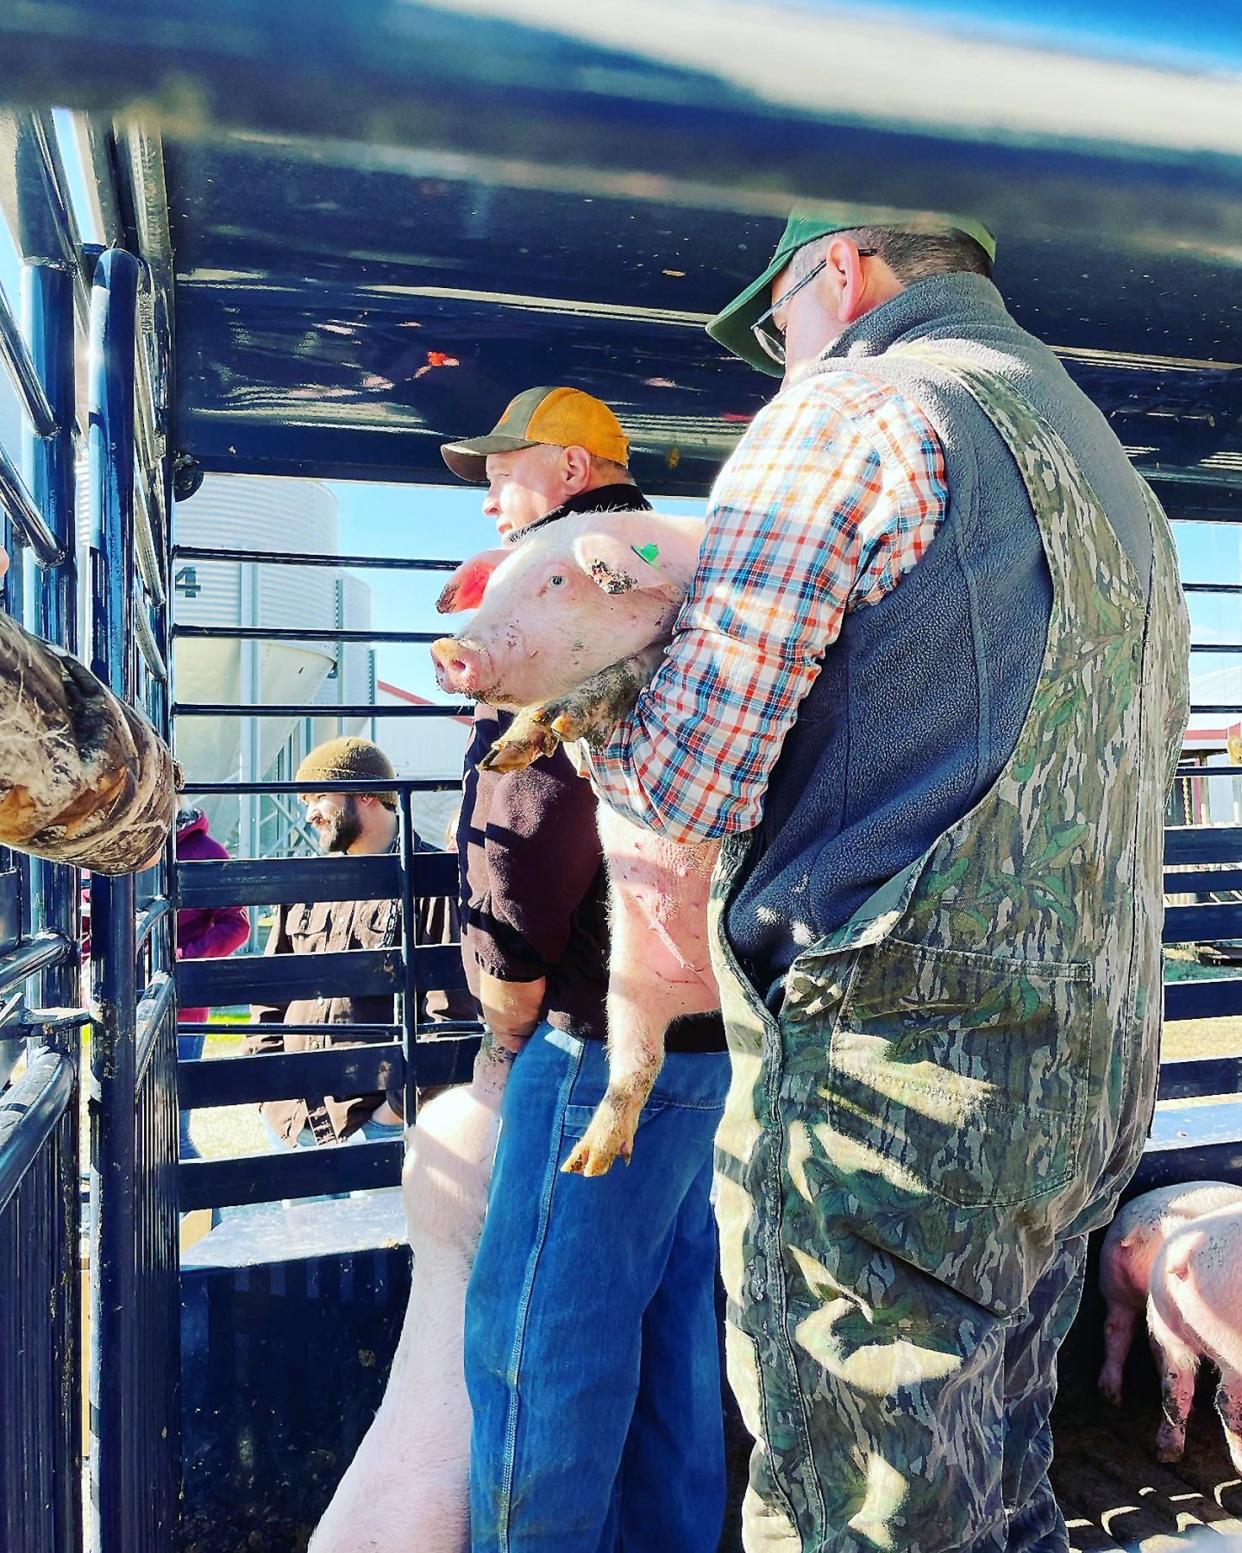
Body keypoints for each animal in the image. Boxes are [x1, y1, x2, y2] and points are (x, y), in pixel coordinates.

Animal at [428, 509, 714, 1174]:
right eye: (496, 582)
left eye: (557, 581)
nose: (449, 648)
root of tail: (706, 994)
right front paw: (514, 749)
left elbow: (629, 670)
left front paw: (541, 734)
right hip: (629, 977)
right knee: (637, 1062)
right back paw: (588, 1160)